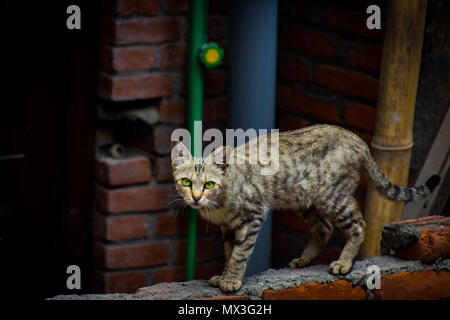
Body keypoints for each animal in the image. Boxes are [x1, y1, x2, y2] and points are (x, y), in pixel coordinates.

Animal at [171, 124, 440, 292]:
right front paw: (224, 275)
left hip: (333, 197)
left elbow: (239, 253)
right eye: (186, 182)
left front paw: (231, 280)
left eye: (209, 184)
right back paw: (304, 259)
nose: (196, 197)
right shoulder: (228, 227)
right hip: (306, 200)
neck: (220, 203)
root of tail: (356, 139)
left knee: (358, 224)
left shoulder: (253, 216)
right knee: (323, 229)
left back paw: (344, 262)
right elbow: (229, 251)